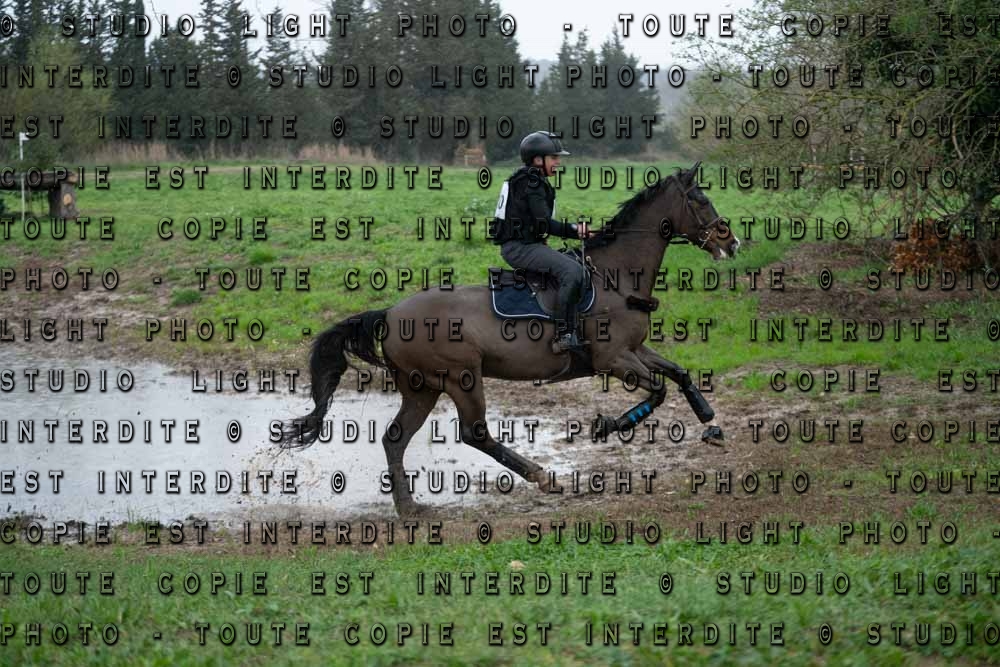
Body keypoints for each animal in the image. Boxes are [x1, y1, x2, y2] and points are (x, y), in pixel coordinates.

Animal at [277, 162, 740, 515]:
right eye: (700, 200)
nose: (731, 241)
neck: (617, 275)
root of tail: (389, 314)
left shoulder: (634, 349)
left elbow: (679, 373)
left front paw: (710, 423)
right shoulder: (612, 359)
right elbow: (659, 389)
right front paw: (608, 426)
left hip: (422, 387)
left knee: (395, 438)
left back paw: (409, 507)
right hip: (461, 378)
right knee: (475, 433)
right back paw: (542, 476)